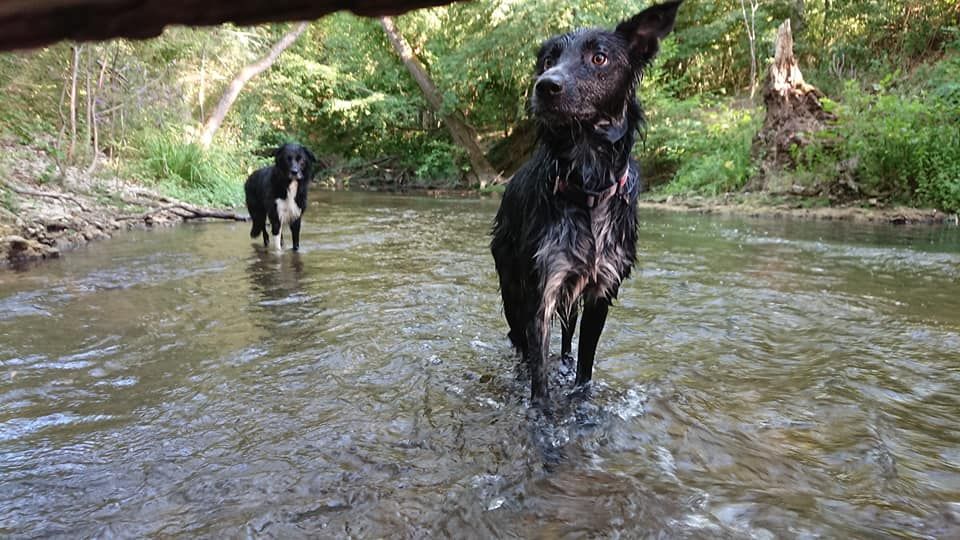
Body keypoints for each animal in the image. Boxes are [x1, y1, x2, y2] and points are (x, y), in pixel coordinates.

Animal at [488, 1, 684, 404]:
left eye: (599, 58)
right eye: (548, 59)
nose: (546, 86)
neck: (587, 185)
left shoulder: (600, 292)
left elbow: (584, 369)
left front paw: (580, 402)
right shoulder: (541, 292)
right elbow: (539, 379)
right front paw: (543, 413)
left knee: (566, 341)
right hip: (512, 288)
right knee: (520, 342)